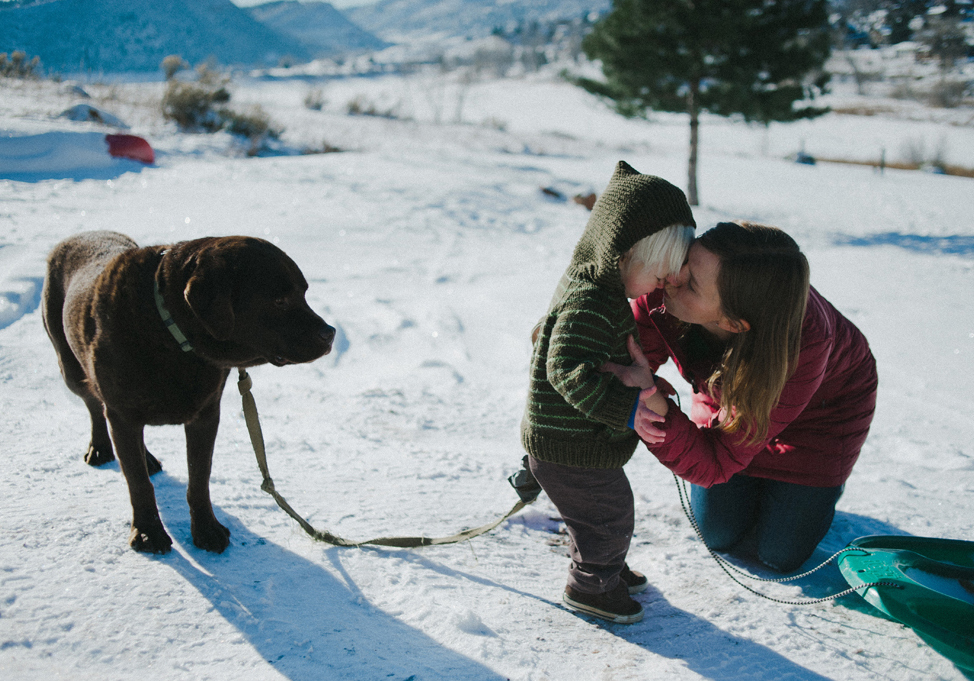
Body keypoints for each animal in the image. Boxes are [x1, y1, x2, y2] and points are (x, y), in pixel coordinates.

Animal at [42, 232, 336, 552]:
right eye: (280, 300)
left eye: (304, 293)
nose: (330, 333)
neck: (169, 333)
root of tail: (77, 236)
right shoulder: (122, 415)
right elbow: (138, 482)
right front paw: (148, 532)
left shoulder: (206, 413)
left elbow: (199, 476)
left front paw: (206, 530)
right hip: (70, 368)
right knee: (94, 404)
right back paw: (100, 447)